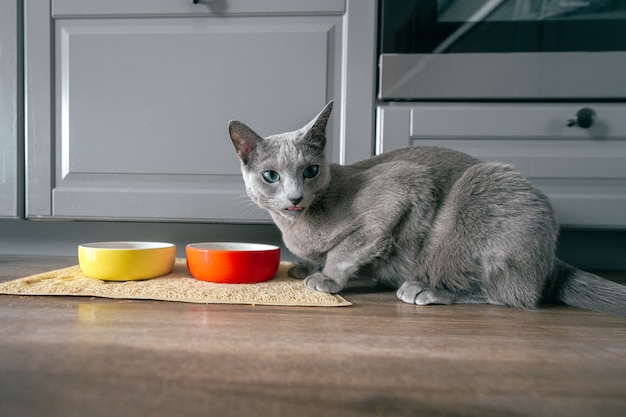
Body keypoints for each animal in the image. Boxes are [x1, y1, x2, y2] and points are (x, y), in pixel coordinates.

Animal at [229, 101, 624, 316]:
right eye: (271, 176)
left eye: (310, 171)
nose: (295, 197)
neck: (297, 226)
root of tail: (553, 258)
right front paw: (304, 267)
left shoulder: (403, 188)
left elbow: (348, 248)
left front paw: (325, 277)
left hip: (479, 190)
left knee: (513, 295)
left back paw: (425, 290)